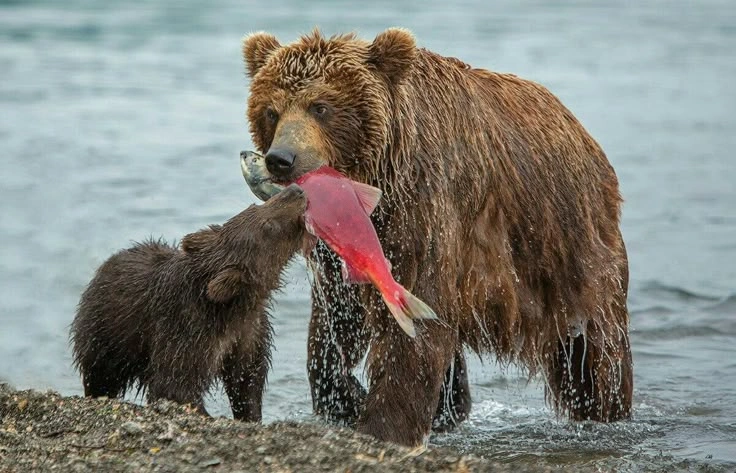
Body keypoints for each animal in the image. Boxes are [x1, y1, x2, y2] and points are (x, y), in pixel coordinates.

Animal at [70, 183, 307, 422]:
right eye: (268, 226)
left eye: (254, 206)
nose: (295, 191)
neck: (232, 310)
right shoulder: (188, 328)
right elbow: (175, 383)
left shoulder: (249, 332)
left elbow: (248, 379)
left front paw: (250, 414)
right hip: (106, 331)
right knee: (101, 374)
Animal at [241, 28, 633, 446]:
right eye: (271, 111)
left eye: (321, 106)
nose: (281, 159)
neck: (379, 177)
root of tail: (579, 129)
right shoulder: (342, 253)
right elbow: (335, 326)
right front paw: (347, 398)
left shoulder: (423, 211)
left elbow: (414, 328)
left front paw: (383, 424)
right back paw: (450, 409)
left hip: (567, 248)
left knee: (595, 352)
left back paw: (605, 410)